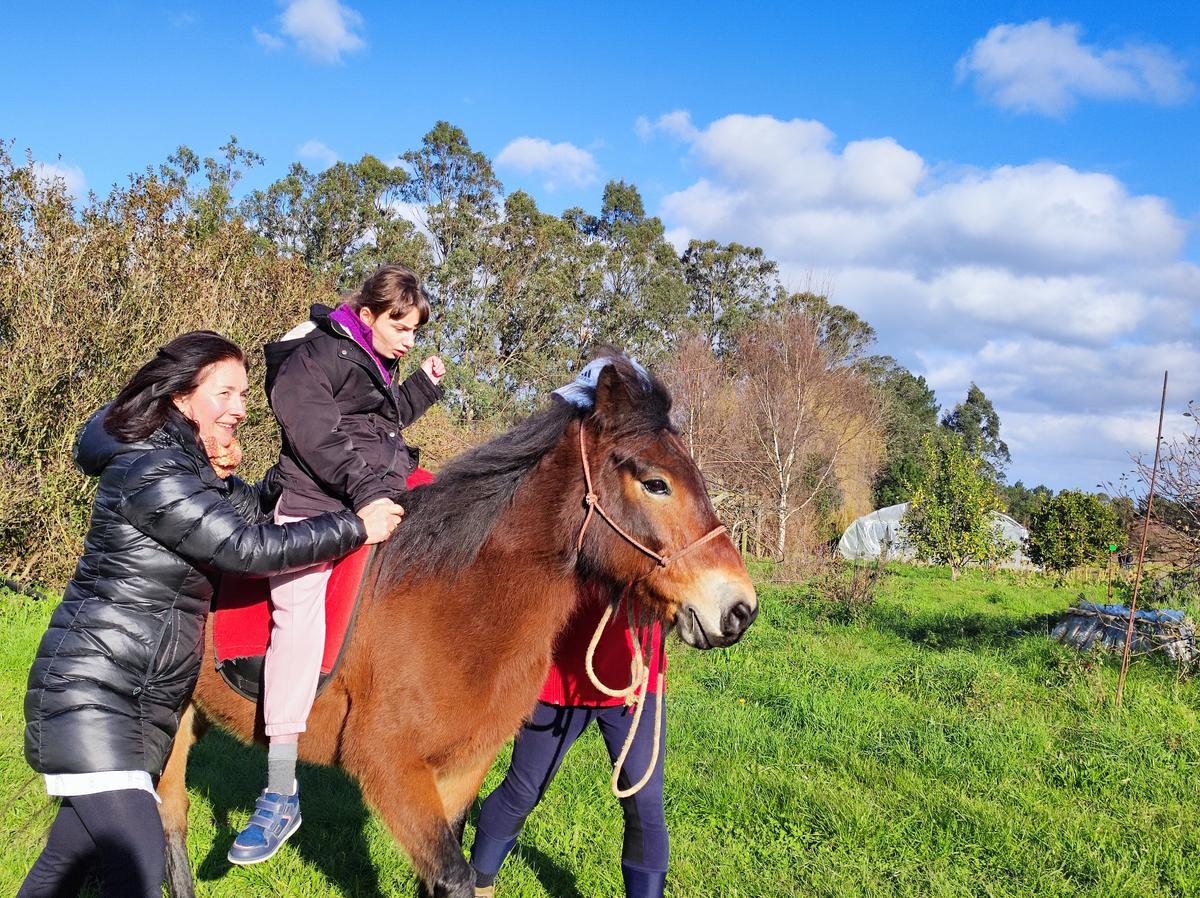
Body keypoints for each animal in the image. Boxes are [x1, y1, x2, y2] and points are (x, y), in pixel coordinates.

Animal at [157, 357, 758, 897]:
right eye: (656, 483)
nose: (740, 609)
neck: (460, 602)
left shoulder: (462, 768)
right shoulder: (392, 769)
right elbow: (454, 878)